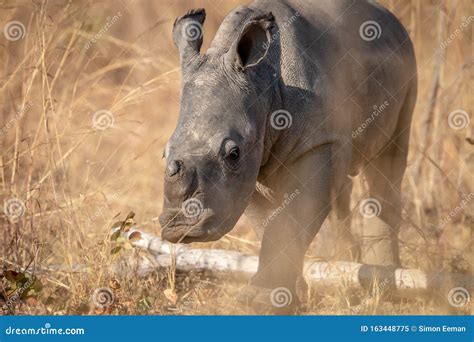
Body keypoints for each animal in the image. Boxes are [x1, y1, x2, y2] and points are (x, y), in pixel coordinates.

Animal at [158, 0, 414, 310]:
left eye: (233, 153)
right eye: (164, 153)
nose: (179, 227)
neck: (262, 84)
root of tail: (388, 17)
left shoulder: (313, 142)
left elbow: (293, 217)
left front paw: (262, 302)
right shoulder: (252, 167)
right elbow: (271, 224)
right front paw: (291, 296)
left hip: (408, 63)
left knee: (388, 162)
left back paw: (383, 283)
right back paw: (344, 264)